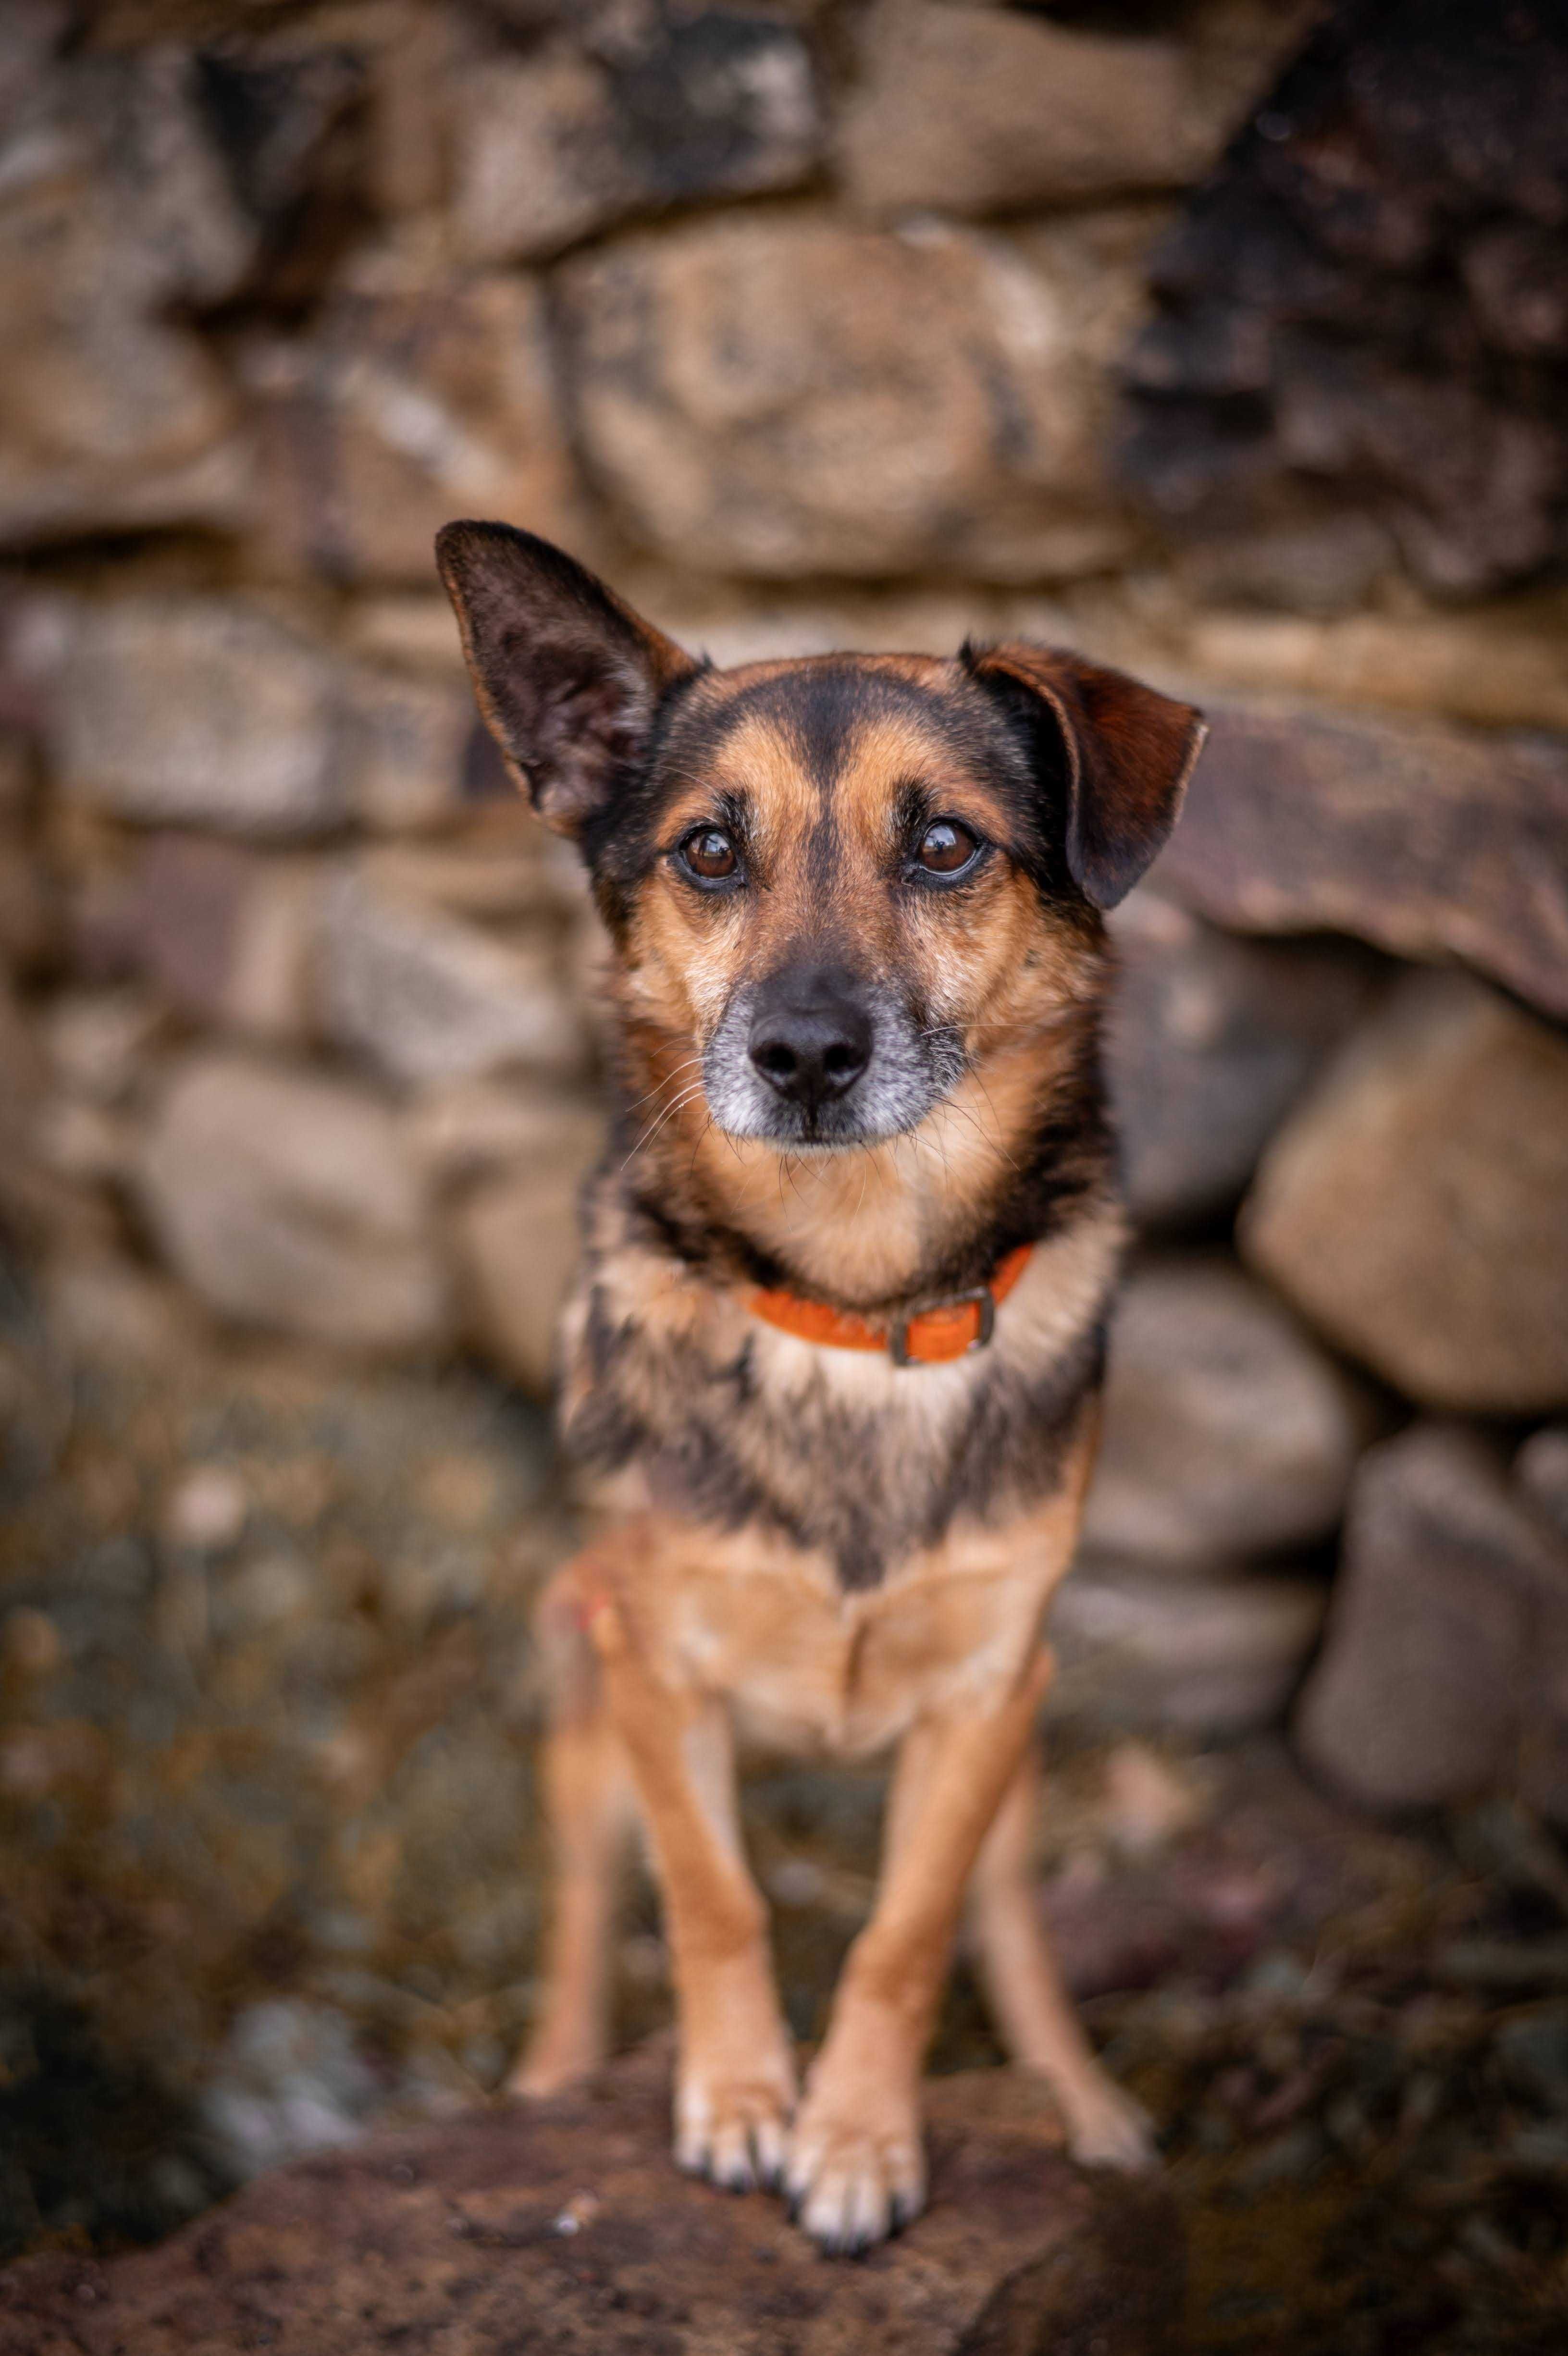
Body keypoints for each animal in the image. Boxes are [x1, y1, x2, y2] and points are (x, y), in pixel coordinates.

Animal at [433, 525, 1200, 2252]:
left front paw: (853, 2137)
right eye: (710, 851)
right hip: (575, 1672)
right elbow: (711, 1895)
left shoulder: (986, 1688)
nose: (798, 1054)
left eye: (944, 845)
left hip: (1023, 1730)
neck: (853, 1306)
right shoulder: (652, 1661)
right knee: (587, 1899)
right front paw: (737, 2100)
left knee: (1004, 1916)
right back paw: (551, 2070)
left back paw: (1083, 2098)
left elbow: (903, 1936)